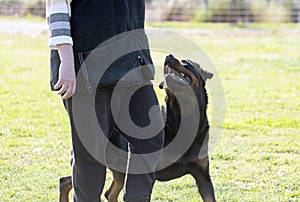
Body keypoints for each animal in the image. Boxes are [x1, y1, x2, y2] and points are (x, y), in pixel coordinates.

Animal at [58, 54, 214, 201]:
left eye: (185, 62)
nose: (168, 56)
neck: (184, 119)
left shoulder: (203, 176)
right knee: (66, 181)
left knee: (109, 193)